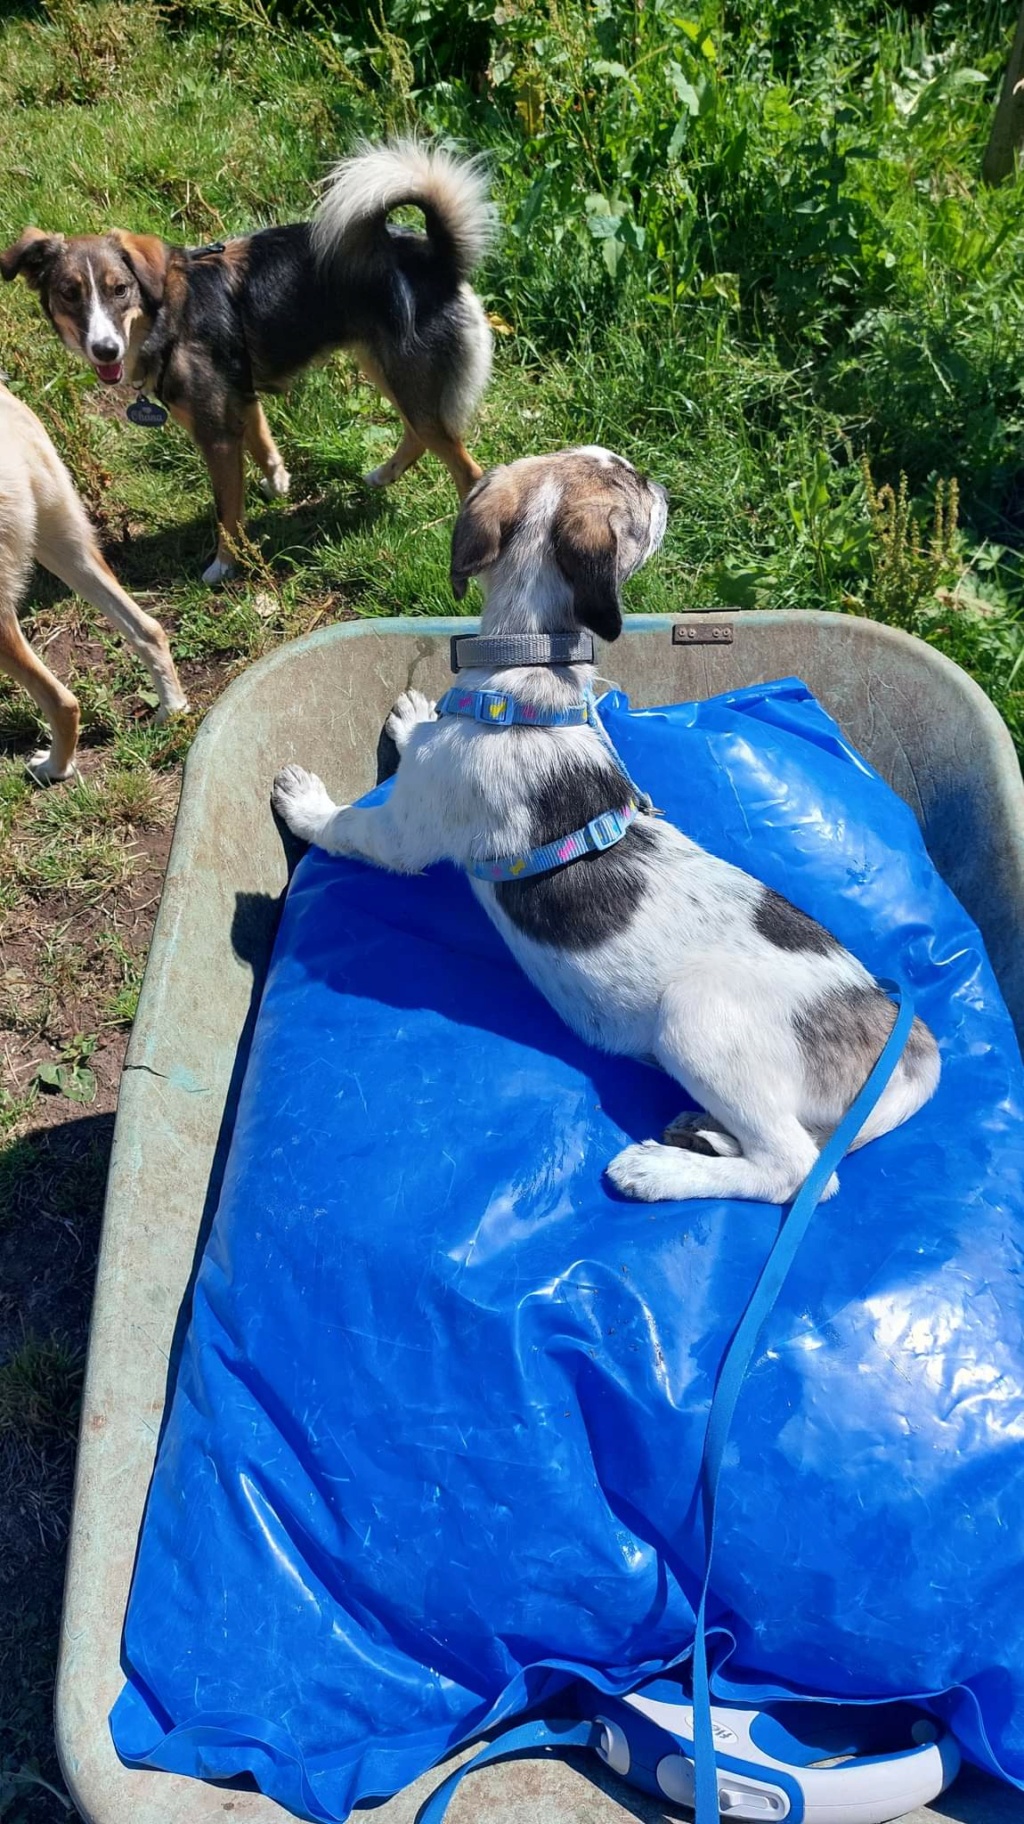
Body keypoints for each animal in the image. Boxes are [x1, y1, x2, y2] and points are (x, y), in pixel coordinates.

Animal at [1, 142, 492, 583]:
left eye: (119, 289)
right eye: (69, 294)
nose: (105, 350)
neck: (166, 312)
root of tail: (437, 258)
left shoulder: (216, 433)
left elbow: (227, 509)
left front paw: (224, 563)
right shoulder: (241, 396)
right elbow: (263, 445)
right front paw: (278, 483)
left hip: (407, 373)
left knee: (463, 466)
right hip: (385, 366)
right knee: (418, 434)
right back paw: (382, 475)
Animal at [270, 448, 934, 1203]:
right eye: (639, 487)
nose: (665, 486)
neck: (525, 680)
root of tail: (904, 1044)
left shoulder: (406, 830)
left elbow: (348, 826)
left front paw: (304, 803)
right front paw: (413, 719)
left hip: (696, 1021)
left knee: (799, 1173)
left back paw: (661, 1170)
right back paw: (702, 1132)